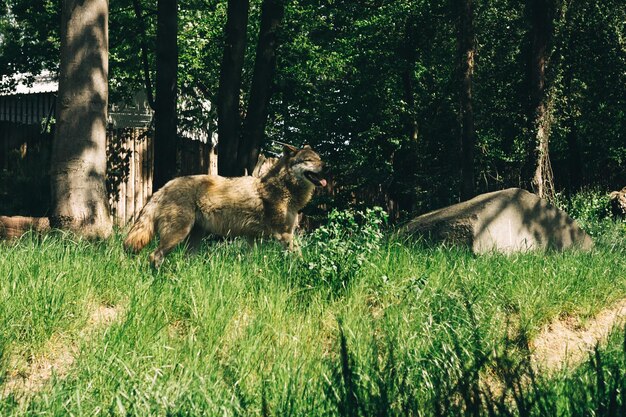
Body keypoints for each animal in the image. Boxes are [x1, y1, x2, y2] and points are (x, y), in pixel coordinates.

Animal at [123, 143, 326, 266]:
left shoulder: (253, 238)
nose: (326, 166)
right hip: (177, 235)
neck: (283, 188)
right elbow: (300, 257)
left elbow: (251, 262)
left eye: (319, 158)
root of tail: (165, 185)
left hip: (193, 240)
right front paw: (306, 269)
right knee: (154, 256)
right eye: (308, 160)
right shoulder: (285, 235)